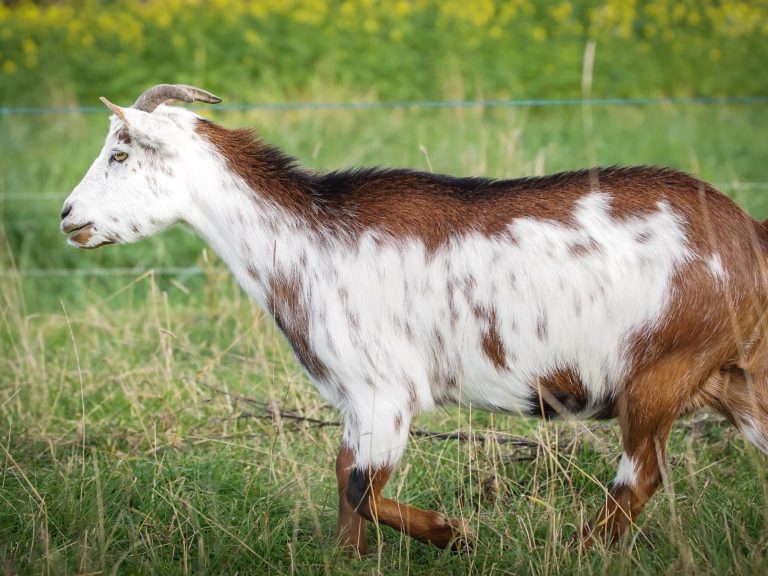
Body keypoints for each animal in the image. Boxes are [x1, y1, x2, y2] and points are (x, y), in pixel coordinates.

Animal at [61, 84, 768, 552]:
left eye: (120, 153)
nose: (69, 217)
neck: (308, 235)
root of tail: (748, 233)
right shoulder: (354, 399)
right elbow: (344, 482)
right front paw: (348, 560)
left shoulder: (385, 389)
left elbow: (359, 490)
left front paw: (456, 534)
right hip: (736, 374)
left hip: (660, 371)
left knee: (638, 476)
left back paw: (570, 550)